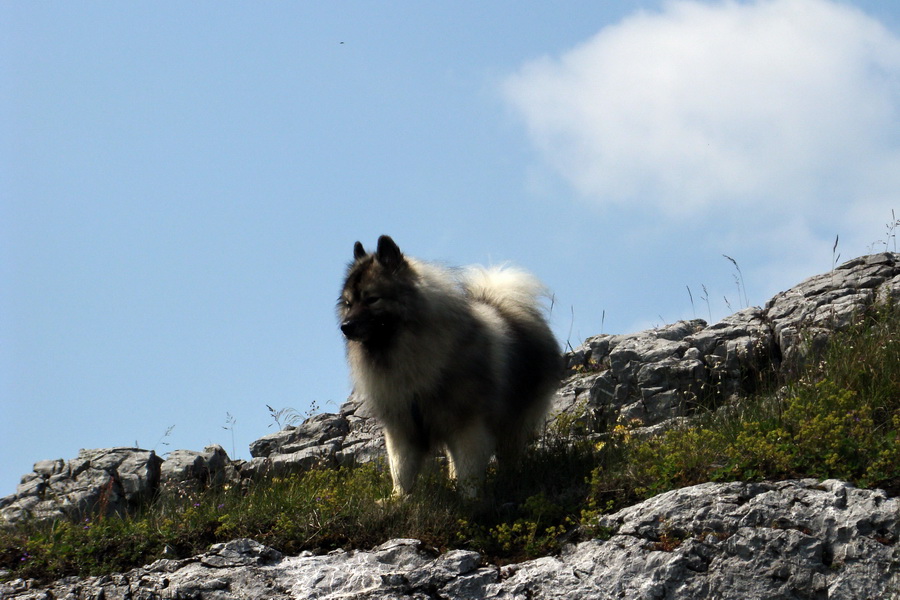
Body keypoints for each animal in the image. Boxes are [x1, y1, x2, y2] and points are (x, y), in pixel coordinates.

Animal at [340, 236, 564, 496]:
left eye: (372, 299)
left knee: (509, 453)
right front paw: (398, 499)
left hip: (513, 420)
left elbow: (469, 468)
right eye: (348, 303)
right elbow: (401, 470)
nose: (345, 326)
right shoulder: (402, 428)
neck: (406, 353)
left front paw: (471, 499)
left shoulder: (468, 424)